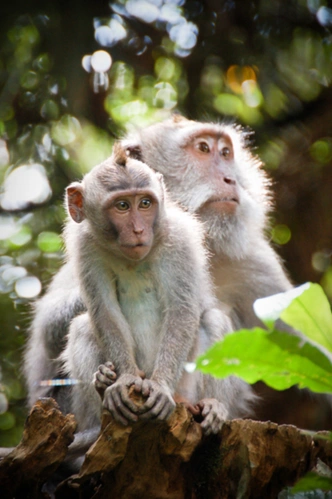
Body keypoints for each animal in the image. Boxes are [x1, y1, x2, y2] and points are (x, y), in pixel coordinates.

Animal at [59, 144, 254, 438]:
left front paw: (160, 387)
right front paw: (123, 380)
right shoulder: (86, 246)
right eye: (122, 206)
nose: (139, 229)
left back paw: (213, 406)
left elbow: (181, 310)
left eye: (145, 203)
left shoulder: (179, 239)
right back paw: (103, 385)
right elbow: (104, 311)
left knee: (213, 320)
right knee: (82, 327)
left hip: (187, 385)